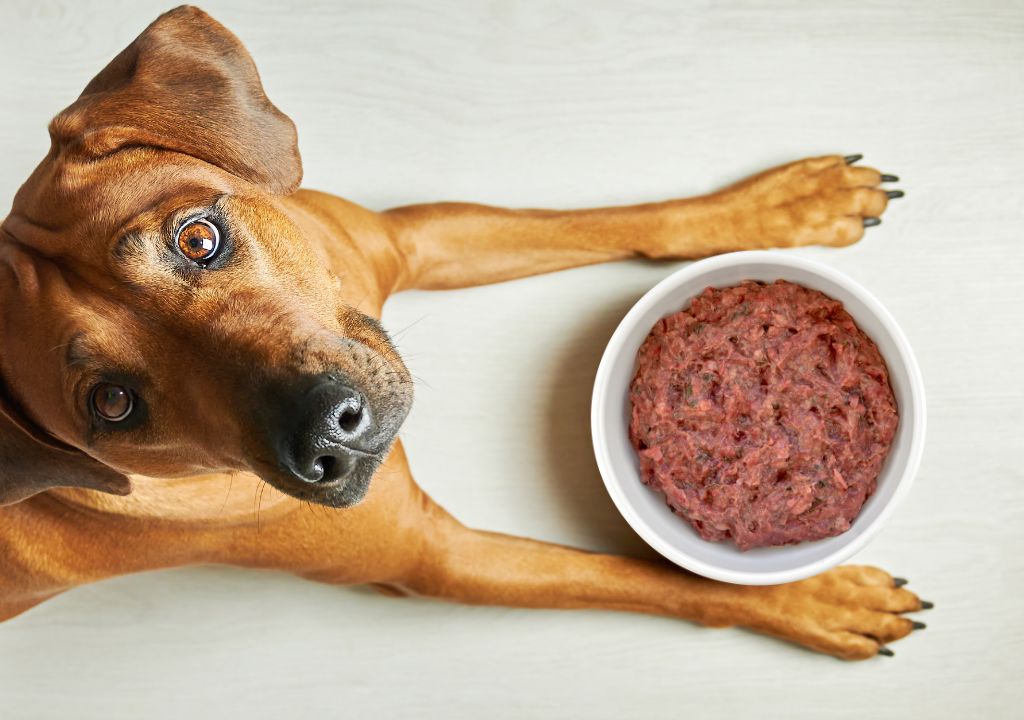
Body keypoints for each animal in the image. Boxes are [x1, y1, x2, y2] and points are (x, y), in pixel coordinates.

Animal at [0, 7, 929, 659]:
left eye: (197, 239)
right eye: (114, 404)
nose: (327, 435)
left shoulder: (405, 239)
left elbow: (615, 220)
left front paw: (782, 204)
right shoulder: (440, 559)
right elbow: (647, 579)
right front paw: (809, 600)